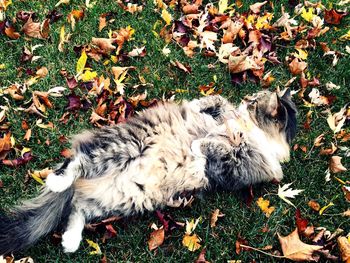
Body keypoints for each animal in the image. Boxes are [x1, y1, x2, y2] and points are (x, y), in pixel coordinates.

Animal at [0, 89, 296, 256]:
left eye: (254, 101)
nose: (247, 99)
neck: (257, 132)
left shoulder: (237, 165)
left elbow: (218, 146)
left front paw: (200, 145)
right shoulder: (225, 123)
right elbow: (216, 104)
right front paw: (204, 112)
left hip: (124, 197)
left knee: (77, 207)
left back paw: (70, 240)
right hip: (119, 149)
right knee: (75, 165)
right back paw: (57, 182)